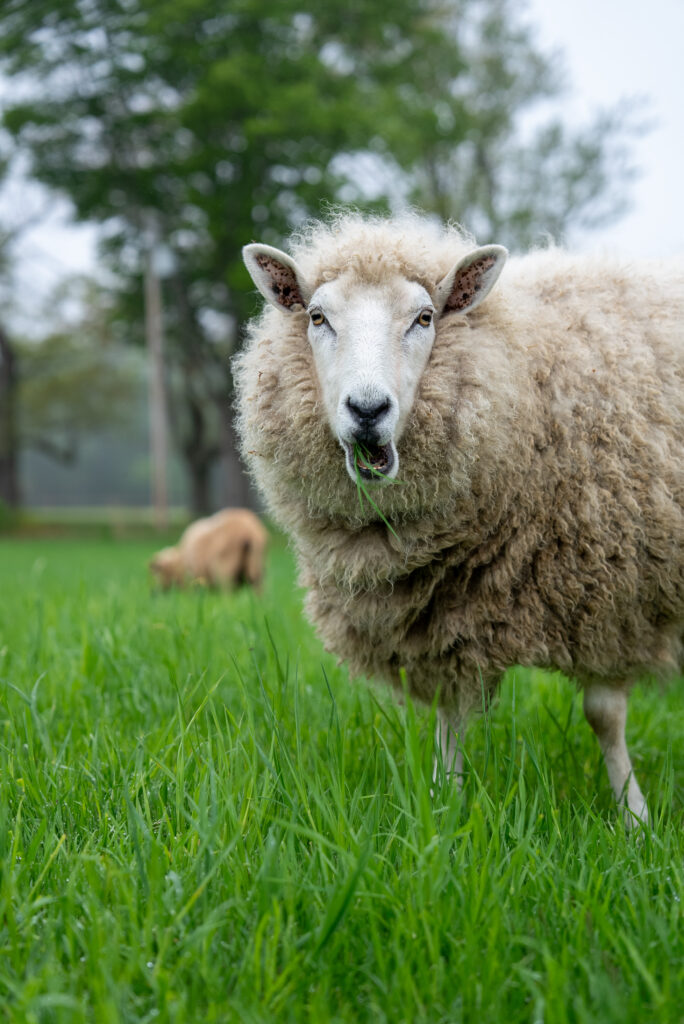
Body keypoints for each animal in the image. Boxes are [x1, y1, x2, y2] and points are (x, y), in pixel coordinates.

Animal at [234, 212, 684, 826]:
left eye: (424, 317)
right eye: (317, 317)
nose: (368, 410)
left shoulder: (614, 593)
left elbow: (604, 713)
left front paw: (633, 816)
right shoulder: (444, 614)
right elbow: (451, 717)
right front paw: (442, 807)